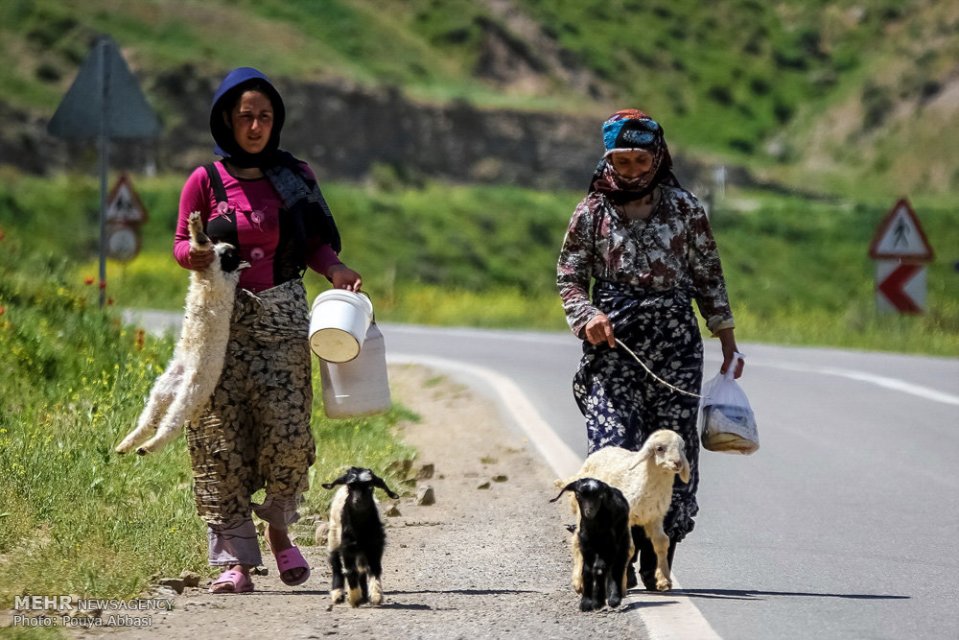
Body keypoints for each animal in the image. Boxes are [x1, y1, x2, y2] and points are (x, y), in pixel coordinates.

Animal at [115, 211, 247, 455]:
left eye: (231, 255)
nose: (227, 246)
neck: (223, 272)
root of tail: (181, 380)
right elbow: (203, 246)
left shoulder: (213, 272)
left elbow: (202, 243)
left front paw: (195, 224)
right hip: (161, 393)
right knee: (148, 423)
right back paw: (125, 446)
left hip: (186, 397)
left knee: (168, 427)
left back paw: (143, 448)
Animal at [322, 466, 400, 607]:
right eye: (350, 486)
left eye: (370, 486)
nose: (357, 501)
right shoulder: (347, 547)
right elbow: (349, 571)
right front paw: (354, 598)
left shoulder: (375, 546)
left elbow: (374, 568)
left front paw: (376, 596)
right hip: (334, 536)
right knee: (336, 564)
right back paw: (337, 594)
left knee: (362, 569)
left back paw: (363, 594)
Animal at [551, 477, 633, 611]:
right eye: (578, 495)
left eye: (600, 496)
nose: (589, 511)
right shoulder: (586, 546)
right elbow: (587, 570)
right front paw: (586, 602)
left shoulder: (609, 546)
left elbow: (599, 568)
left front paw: (598, 601)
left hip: (621, 538)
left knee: (617, 565)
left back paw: (614, 598)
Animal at [559, 429, 690, 592]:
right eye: (659, 448)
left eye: (682, 448)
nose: (678, 463)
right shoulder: (628, 516)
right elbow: (630, 548)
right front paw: (621, 585)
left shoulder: (655, 517)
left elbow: (662, 541)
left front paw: (664, 580)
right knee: (579, 539)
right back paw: (579, 582)